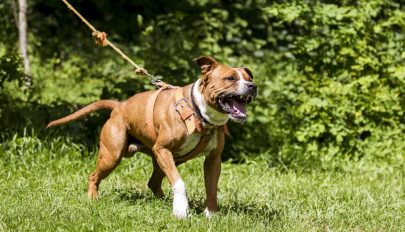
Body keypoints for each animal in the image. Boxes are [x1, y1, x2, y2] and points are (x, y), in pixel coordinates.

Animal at [46, 56, 256, 218]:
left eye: (249, 77)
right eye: (230, 78)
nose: (252, 86)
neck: (199, 113)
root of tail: (119, 106)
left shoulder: (213, 159)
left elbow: (211, 188)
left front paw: (211, 214)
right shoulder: (163, 149)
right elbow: (179, 183)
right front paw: (181, 210)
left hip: (165, 159)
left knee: (153, 183)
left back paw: (163, 202)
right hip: (113, 156)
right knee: (93, 176)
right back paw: (93, 198)